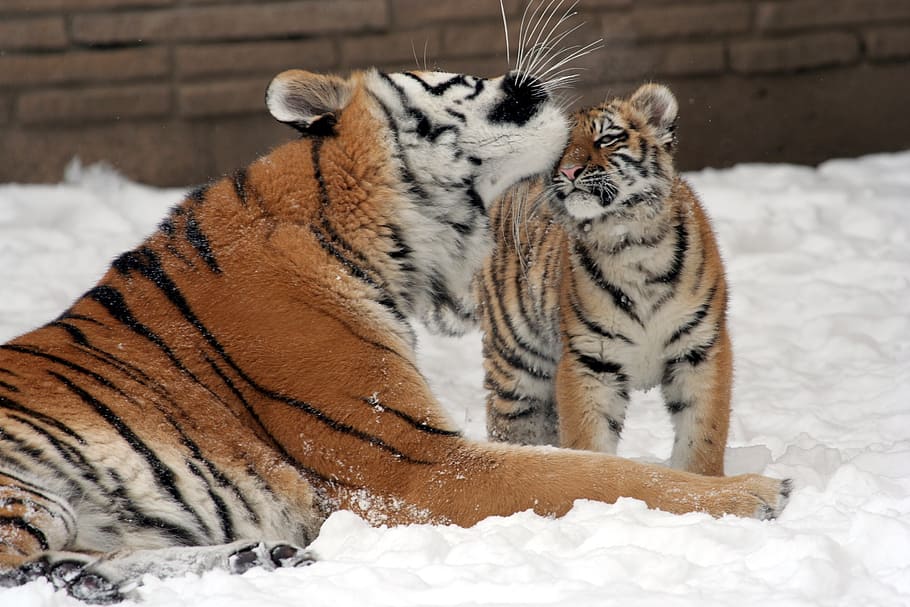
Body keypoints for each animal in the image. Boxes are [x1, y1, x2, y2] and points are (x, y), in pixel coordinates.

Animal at [480, 82, 736, 480]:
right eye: (561, 148)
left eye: (607, 139)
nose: (569, 170)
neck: (630, 244)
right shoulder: (590, 361)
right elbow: (589, 439)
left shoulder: (700, 350)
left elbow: (702, 437)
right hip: (517, 364)